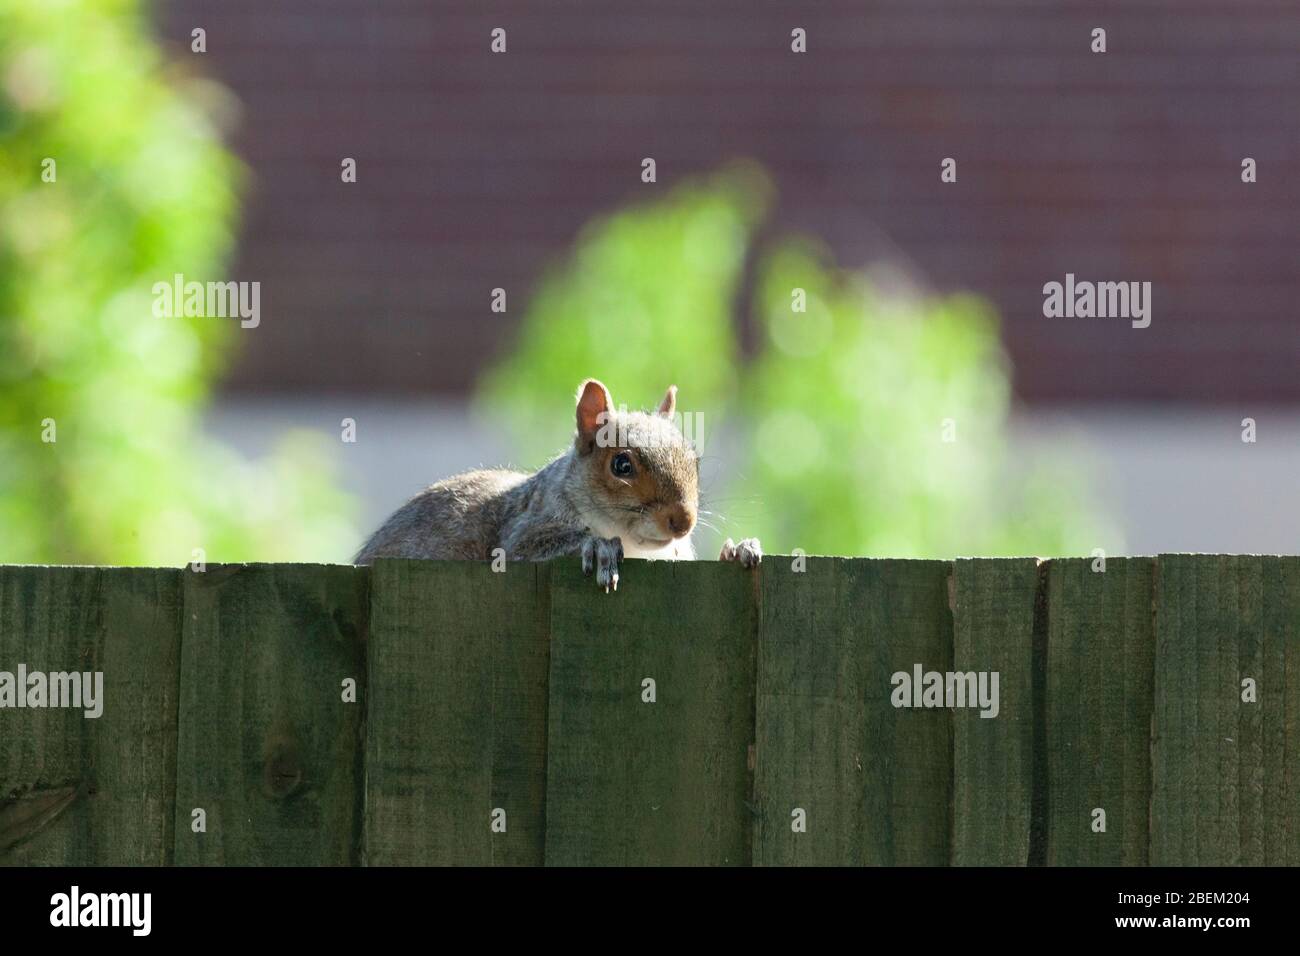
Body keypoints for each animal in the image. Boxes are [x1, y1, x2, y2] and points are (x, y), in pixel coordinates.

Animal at [356, 374, 759, 587]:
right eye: (621, 465)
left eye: (694, 461)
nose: (683, 521)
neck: (636, 544)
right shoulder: (522, 531)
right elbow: (530, 548)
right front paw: (598, 545)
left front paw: (738, 549)